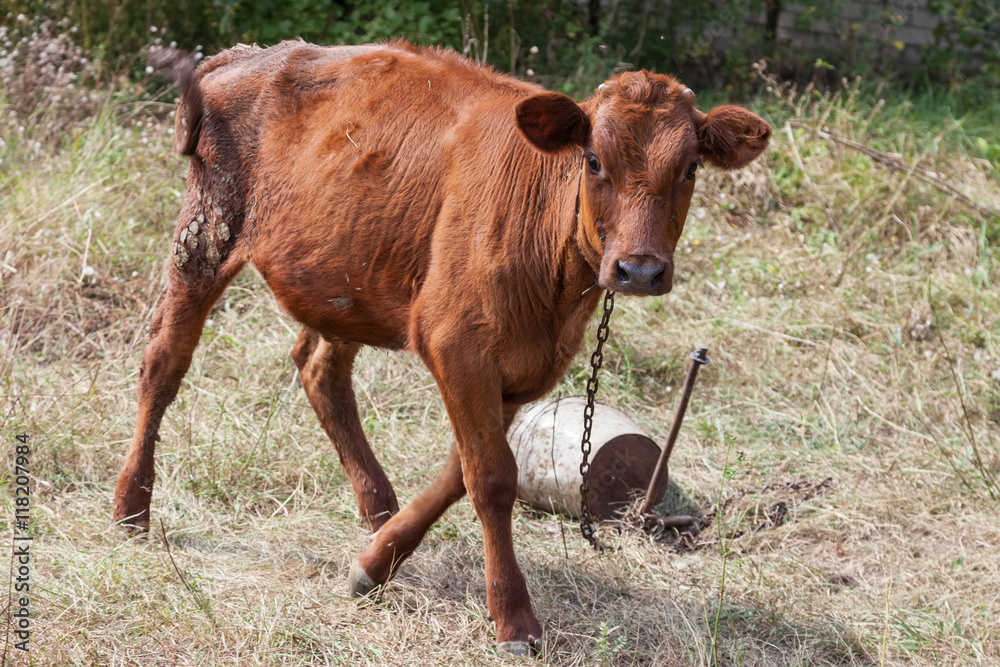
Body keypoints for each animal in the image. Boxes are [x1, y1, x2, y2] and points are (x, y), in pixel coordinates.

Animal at [119, 39, 772, 656]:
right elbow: (491, 477)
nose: (639, 269)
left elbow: (461, 471)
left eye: (690, 168)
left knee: (319, 370)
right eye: (593, 160)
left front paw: (375, 562)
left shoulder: (523, 368)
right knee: (163, 364)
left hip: (345, 276)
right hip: (204, 236)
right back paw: (131, 507)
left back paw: (378, 509)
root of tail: (246, 56)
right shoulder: (456, 343)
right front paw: (514, 618)